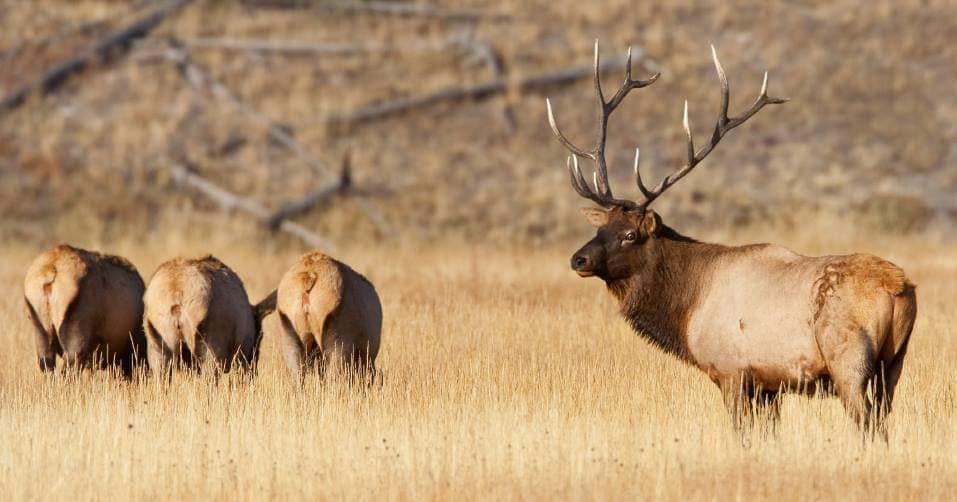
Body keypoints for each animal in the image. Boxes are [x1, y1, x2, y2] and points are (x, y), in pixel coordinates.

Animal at [143, 255, 276, 376]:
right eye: (260, 337)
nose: (254, 371)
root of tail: (177, 292)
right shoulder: (241, 353)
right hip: (209, 346)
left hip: (158, 346)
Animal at [544, 42, 912, 436]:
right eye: (600, 229)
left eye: (629, 234)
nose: (578, 259)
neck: (686, 307)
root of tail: (898, 287)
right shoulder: (769, 385)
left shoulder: (731, 371)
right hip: (893, 364)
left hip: (849, 360)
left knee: (868, 424)